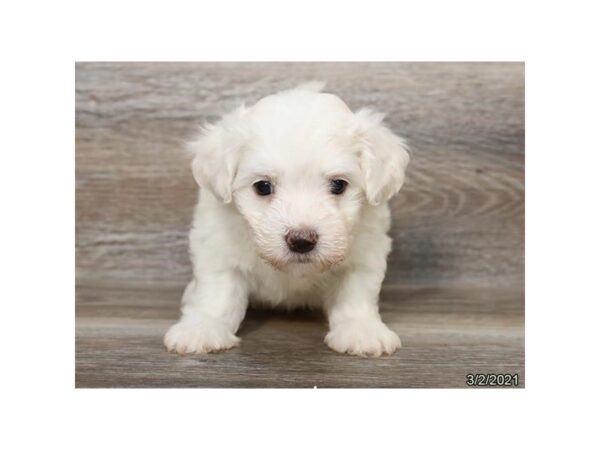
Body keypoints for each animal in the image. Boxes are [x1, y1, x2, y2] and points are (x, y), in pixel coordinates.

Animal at [162, 82, 410, 356]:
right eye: (262, 186)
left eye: (338, 185)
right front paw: (202, 328)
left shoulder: (366, 249)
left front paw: (361, 330)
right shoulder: (218, 245)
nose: (301, 240)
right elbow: (217, 292)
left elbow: (355, 291)